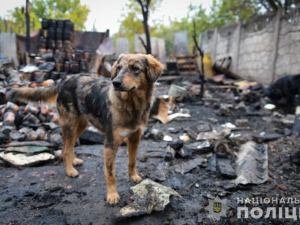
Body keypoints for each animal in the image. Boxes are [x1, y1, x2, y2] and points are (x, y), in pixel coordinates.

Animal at [7, 53, 164, 204]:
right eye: (118, 68)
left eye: (135, 68)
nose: (116, 83)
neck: (132, 105)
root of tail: (64, 78)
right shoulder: (110, 143)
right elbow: (110, 173)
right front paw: (112, 195)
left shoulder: (135, 138)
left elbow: (132, 161)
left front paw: (133, 176)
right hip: (69, 124)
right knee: (65, 148)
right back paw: (70, 170)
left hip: (81, 125)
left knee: (69, 145)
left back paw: (74, 161)